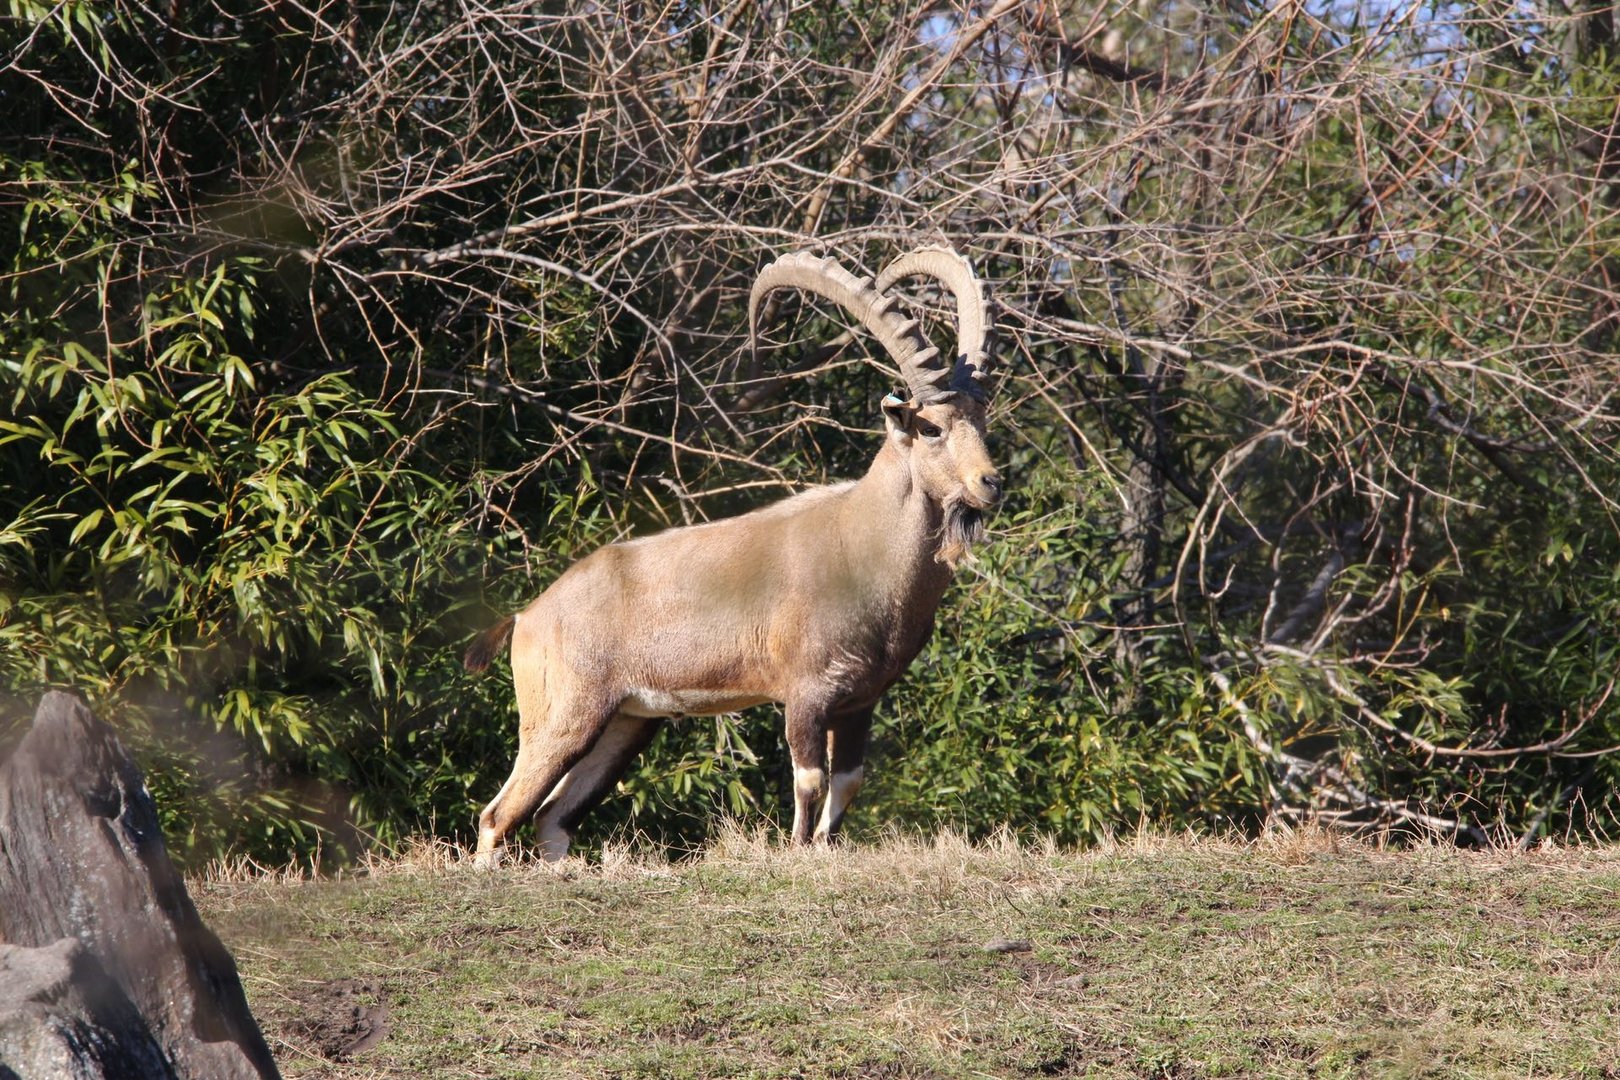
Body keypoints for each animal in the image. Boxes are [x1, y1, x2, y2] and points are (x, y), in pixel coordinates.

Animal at [462, 247, 1000, 863]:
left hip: (624, 722)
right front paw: (796, 852)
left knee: (551, 818)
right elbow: (809, 780)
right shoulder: (806, 693)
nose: (990, 483)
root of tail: (527, 616)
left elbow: (846, 783)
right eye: (931, 428)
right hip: (562, 716)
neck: (863, 549)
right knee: (499, 815)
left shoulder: (857, 703)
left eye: (981, 420)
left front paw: (824, 851)